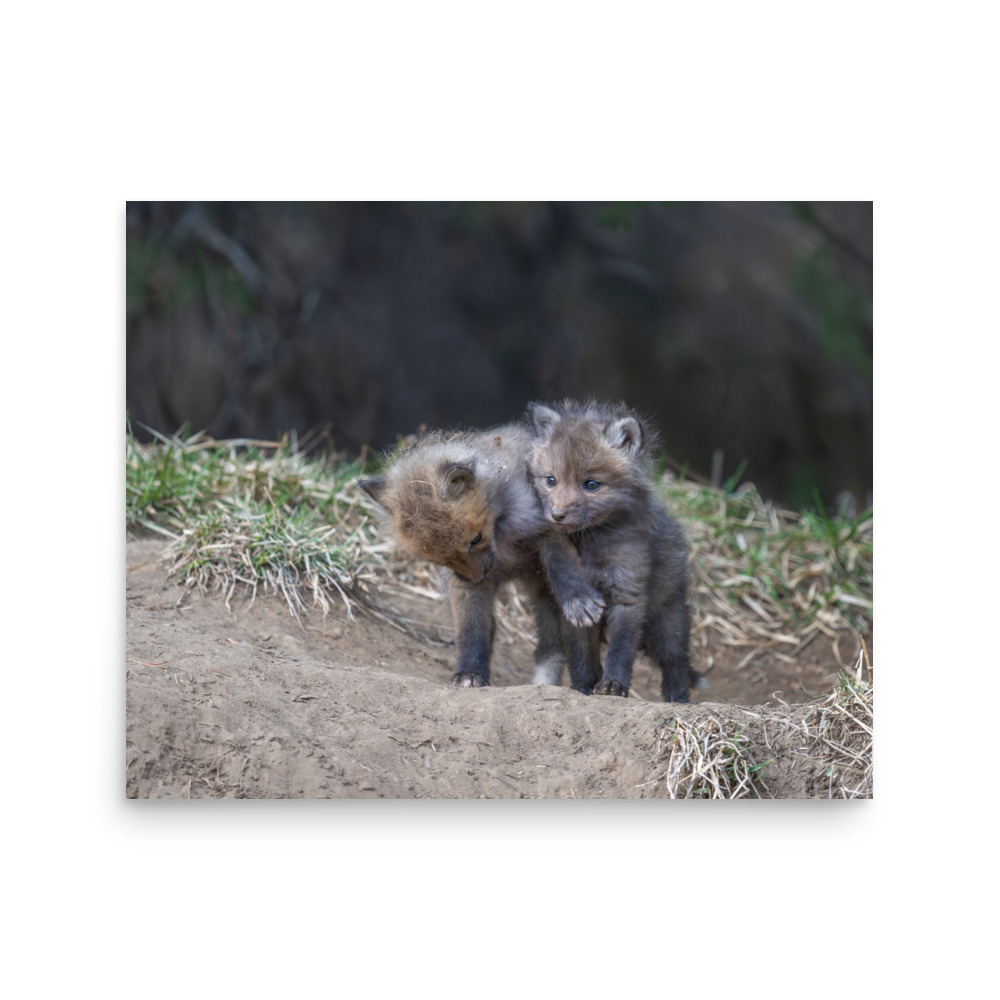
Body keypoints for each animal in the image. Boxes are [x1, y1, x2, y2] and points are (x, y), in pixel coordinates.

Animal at [358, 423, 605, 689]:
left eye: (475, 539)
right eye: (439, 559)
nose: (477, 578)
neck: (502, 534)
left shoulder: (548, 527)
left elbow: (563, 566)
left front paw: (578, 599)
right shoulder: (462, 584)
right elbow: (471, 630)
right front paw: (470, 673)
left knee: (575, 647)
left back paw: (584, 686)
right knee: (548, 644)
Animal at [527, 399, 700, 702]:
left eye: (591, 484)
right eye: (551, 481)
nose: (557, 515)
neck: (590, 546)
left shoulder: (627, 594)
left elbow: (620, 650)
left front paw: (613, 686)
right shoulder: (574, 609)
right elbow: (581, 655)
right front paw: (583, 688)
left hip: (668, 622)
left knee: (676, 661)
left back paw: (678, 699)